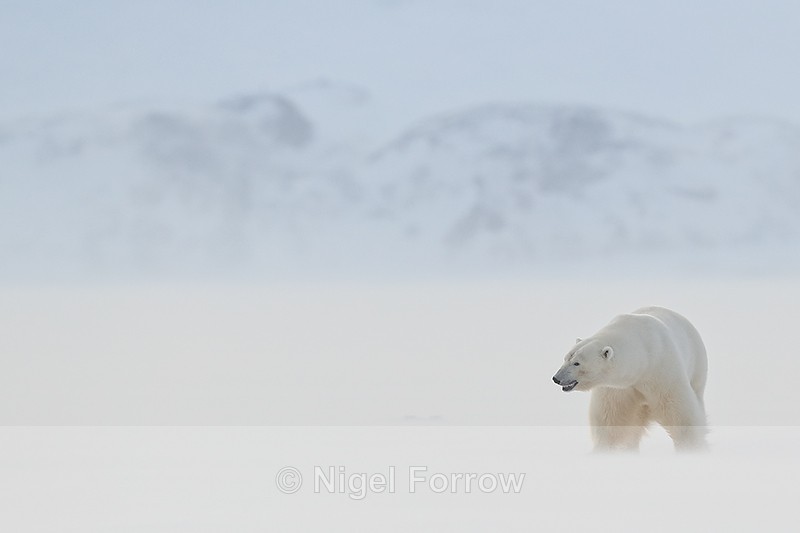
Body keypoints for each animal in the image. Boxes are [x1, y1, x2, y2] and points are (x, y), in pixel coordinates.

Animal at [552, 306, 708, 452]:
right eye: (565, 358)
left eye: (577, 363)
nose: (556, 378)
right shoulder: (618, 386)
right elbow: (612, 420)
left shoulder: (662, 369)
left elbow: (679, 411)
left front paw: (690, 446)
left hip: (697, 366)